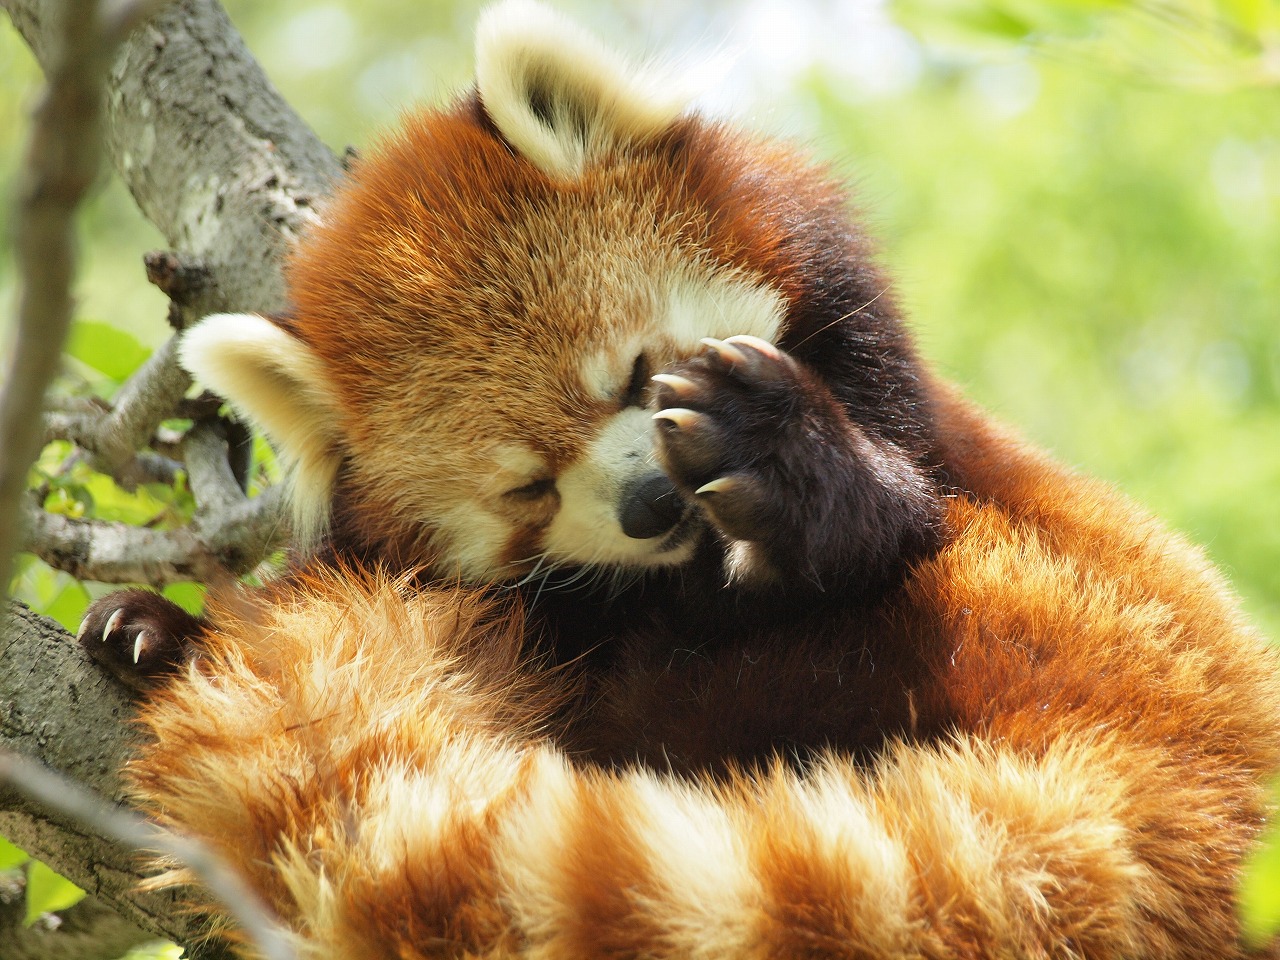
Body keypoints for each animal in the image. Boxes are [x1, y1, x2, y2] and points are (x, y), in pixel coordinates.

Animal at [77, 3, 1280, 957]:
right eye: (526, 490)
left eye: (636, 373)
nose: (651, 504)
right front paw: (154, 627)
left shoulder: (892, 401)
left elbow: (892, 514)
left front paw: (783, 463)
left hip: (1004, 612)